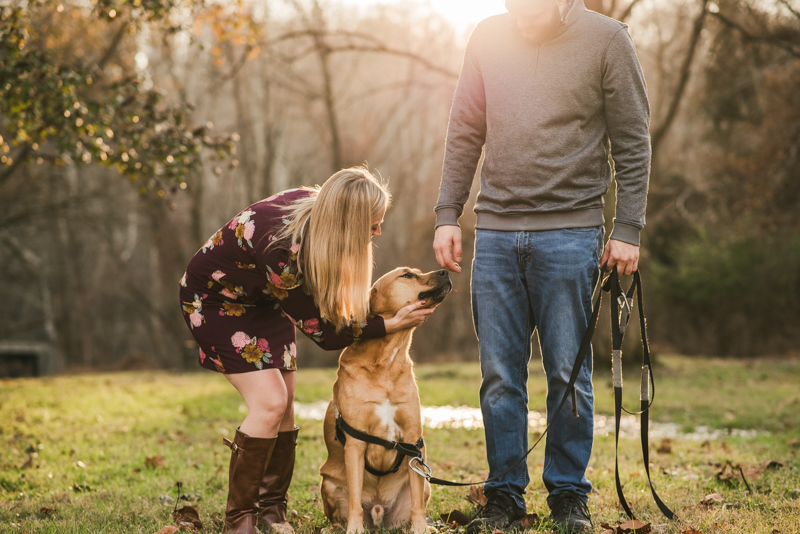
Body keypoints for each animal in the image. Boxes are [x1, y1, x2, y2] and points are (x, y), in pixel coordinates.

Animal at [322, 268, 454, 534]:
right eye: (407, 275)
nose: (444, 270)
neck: (386, 361)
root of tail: (378, 510)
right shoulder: (355, 443)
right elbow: (354, 501)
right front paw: (354, 529)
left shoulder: (413, 441)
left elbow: (418, 506)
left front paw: (420, 529)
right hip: (328, 484)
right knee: (339, 513)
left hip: (425, 484)